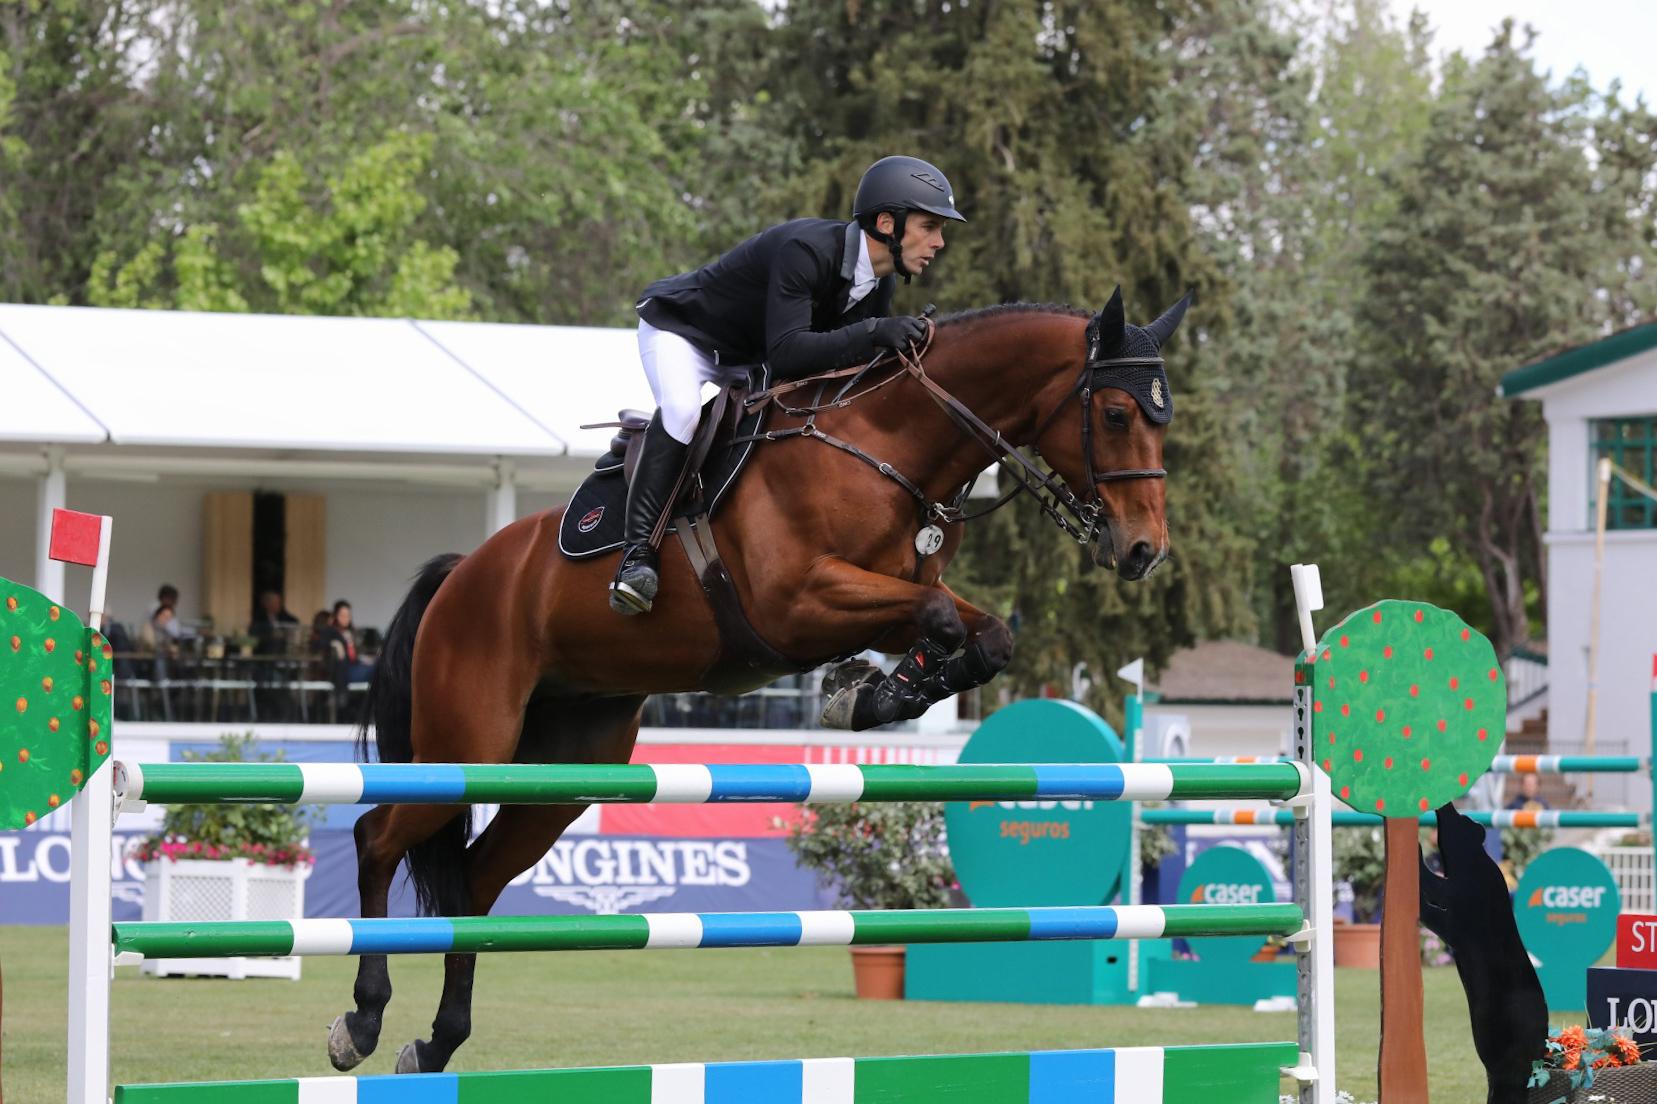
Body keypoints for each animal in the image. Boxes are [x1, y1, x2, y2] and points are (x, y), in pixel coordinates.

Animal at [323, 283, 1186, 1067]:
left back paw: (437, 1043)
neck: (886, 444)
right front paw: (863, 696)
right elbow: (938, 619)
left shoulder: (888, 596)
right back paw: (361, 1020)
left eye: (1162, 418)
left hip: (563, 767)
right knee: (377, 836)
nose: (1144, 551)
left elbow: (981, 634)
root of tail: (465, 571)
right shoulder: (796, 604)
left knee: (473, 878)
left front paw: (871, 694)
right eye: (1115, 414)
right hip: (469, 742)